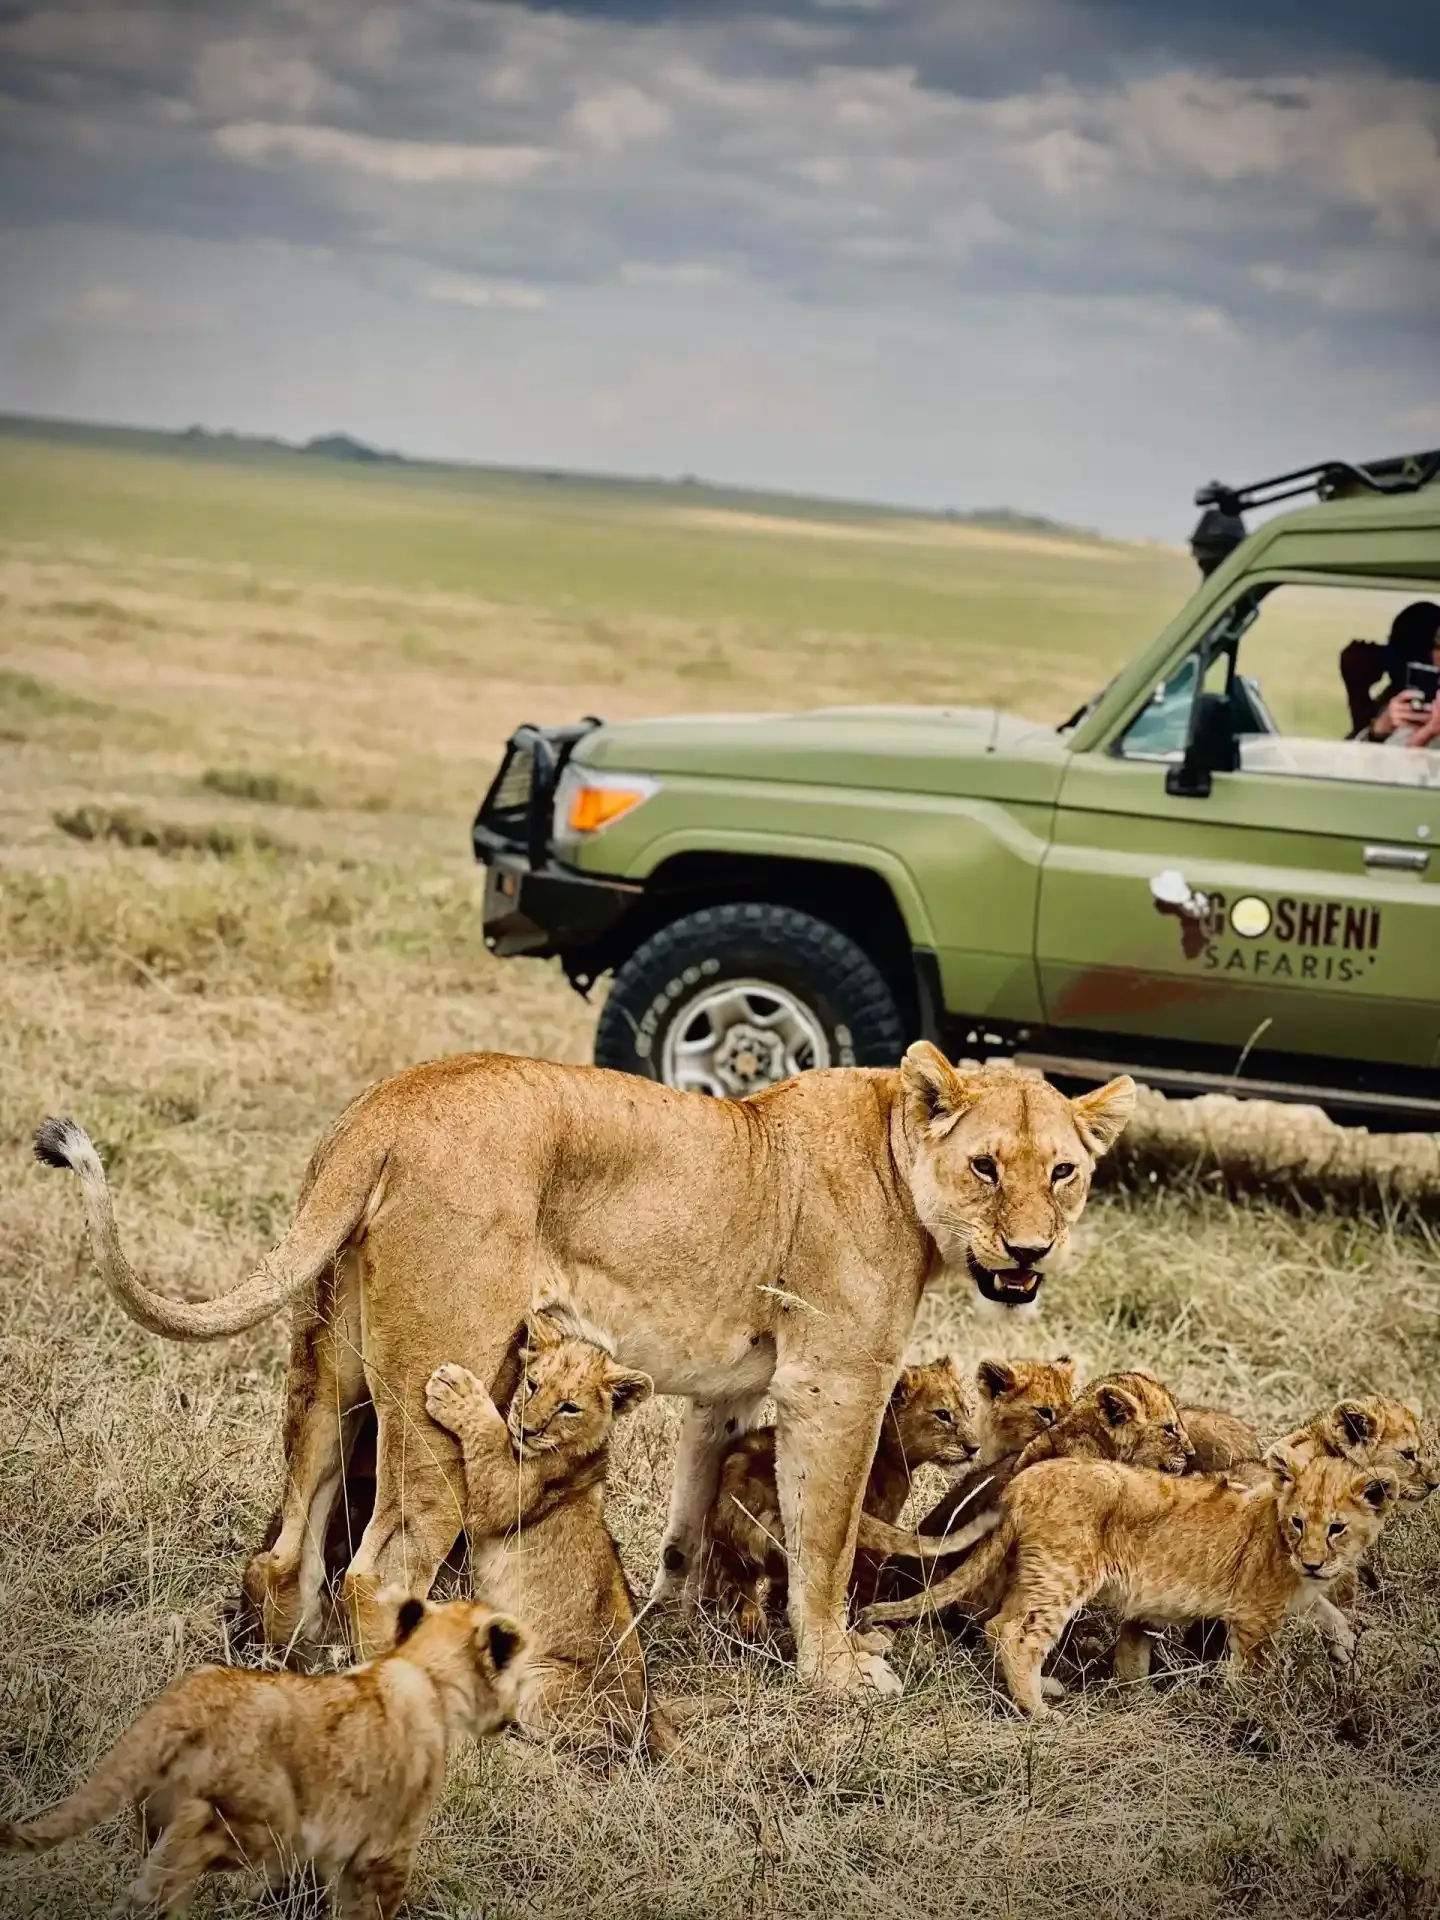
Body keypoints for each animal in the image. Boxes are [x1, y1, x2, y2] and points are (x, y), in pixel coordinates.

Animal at [0, 1597, 529, 1918]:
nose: (514, 1720)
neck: (424, 1669)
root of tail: (201, 1690)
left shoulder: (342, 1849)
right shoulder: (387, 1848)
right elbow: (369, 1907)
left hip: (158, 1809)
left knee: (163, 1860)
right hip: (269, 1821)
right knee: (194, 1840)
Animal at [423, 1305, 671, 1759]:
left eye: (569, 1407)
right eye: (533, 1384)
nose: (528, 1428)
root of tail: (650, 1719)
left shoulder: (501, 1499)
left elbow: (489, 1435)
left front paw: (455, 1391)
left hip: (541, 1678)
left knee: (583, 1750)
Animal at [861, 1448, 1400, 1715]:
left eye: (1336, 1528)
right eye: (1298, 1522)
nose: (1312, 1562)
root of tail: (1021, 1484)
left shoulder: (1298, 1592)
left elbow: (1327, 1608)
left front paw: (1344, 1647)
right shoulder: (1254, 1613)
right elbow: (1253, 1671)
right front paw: (1251, 1710)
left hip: (1031, 1572)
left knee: (999, 1623)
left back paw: (1040, 1691)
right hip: (1063, 1572)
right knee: (1015, 1633)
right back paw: (1039, 1713)